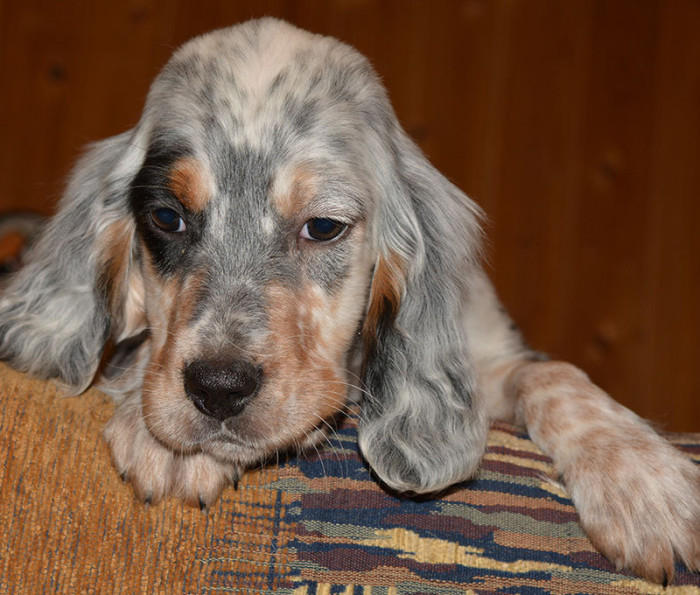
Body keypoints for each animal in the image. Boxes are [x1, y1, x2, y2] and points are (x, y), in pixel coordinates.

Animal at [0, 17, 696, 584]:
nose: (218, 389)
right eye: (168, 218)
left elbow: (551, 373)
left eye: (324, 227)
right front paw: (163, 437)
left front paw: (642, 481)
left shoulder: (489, 354)